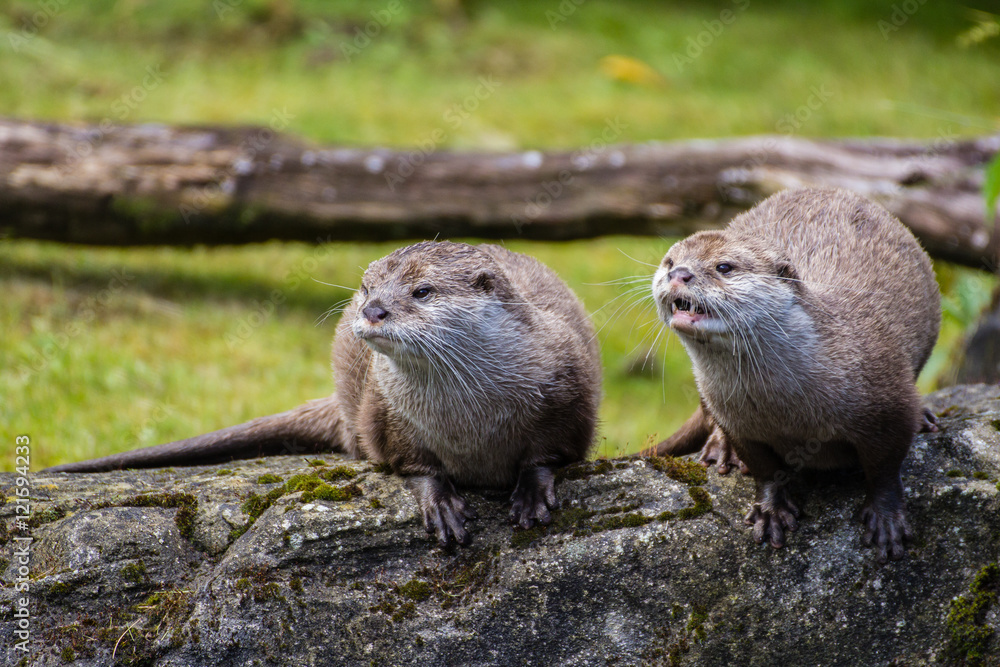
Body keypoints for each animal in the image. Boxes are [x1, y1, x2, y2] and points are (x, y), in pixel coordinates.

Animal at [46, 242, 602, 547]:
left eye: (422, 291)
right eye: (366, 287)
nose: (374, 309)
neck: (471, 421)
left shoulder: (568, 395)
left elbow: (551, 453)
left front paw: (532, 493)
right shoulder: (388, 415)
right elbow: (411, 463)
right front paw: (440, 502)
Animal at [651, 187, 940, 562]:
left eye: (724, 267)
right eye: (670, 262)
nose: (680, 273)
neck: (786, 410)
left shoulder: (889, 402)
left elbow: (885, 466)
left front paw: (886, 518)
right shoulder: (739, 422)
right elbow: (762, 466)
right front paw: (770, 510)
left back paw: (927, 417)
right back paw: (720, 450)